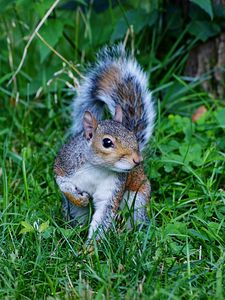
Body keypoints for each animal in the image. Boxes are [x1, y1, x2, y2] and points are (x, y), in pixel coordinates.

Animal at [54, 44, 156, 240]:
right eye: (107, 143)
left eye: (133, 136)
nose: (137, 160)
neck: (97, 168)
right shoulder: (64, 164)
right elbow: (62, 183)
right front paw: (79, 198)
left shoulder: (113, 189)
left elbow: (103, 217)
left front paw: (89, 248)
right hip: (74, 212)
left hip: (138, 199)